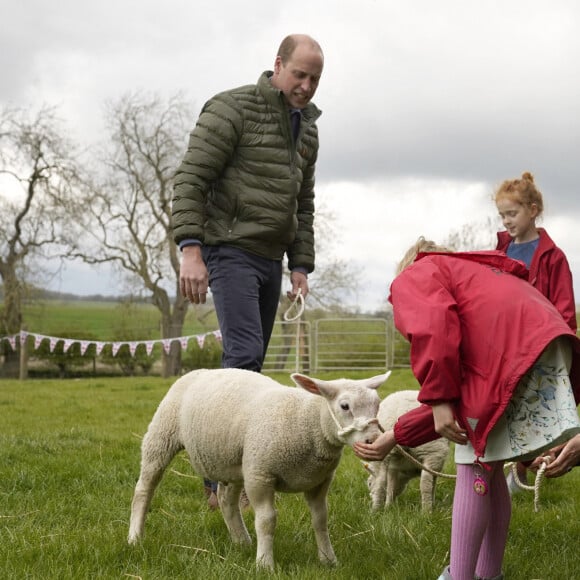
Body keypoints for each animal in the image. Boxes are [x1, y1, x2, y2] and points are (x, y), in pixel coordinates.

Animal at [127, 370, 390, 568]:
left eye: (377, 405)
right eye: (345, 406)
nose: (374, 440)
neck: (307, 421)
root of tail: (201, 371)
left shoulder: (319, 481)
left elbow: (321, 519)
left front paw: (328, 559)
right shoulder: (260, 475)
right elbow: (266, 521)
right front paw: (265, 564)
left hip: (234, 460)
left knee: (226, 499)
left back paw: (241, 541)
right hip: (162, 435)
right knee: (144, 489)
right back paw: (135, 537)